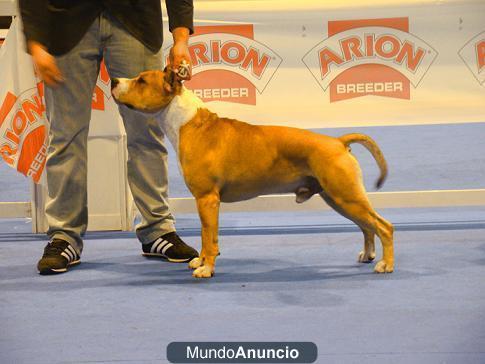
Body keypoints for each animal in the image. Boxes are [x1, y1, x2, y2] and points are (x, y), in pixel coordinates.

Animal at [110, 68, 394, 278]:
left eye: (142, 80)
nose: (114, 80)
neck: (186, 122)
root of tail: (337, 141)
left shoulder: (207, 199)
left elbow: (209, 237)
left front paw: (206, 268)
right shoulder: (205, 202)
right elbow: (205, 235)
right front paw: (200, 261)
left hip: (345, 195)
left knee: (383, 226)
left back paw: (386, 264)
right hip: (338, 198)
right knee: (366, 226)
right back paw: (368, 255)